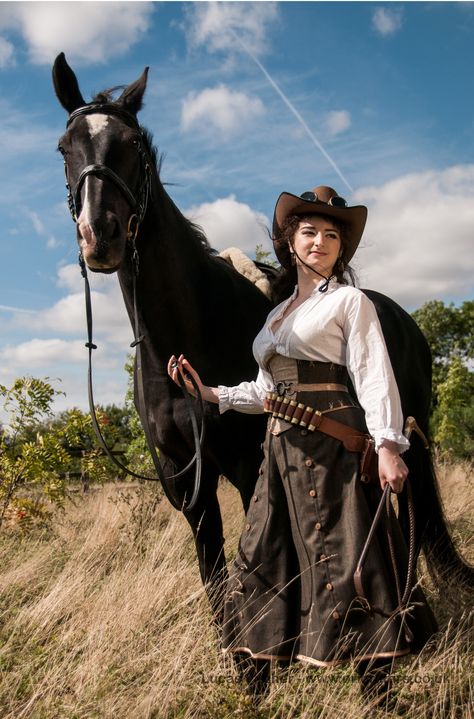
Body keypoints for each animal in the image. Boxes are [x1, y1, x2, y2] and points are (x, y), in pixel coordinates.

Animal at [51, 56, 470, 620]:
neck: (192, 329)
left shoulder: (249, 468)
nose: (101, 235)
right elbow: (215, 580)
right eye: (65, 146)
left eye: (133, 143)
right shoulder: (187, 483)